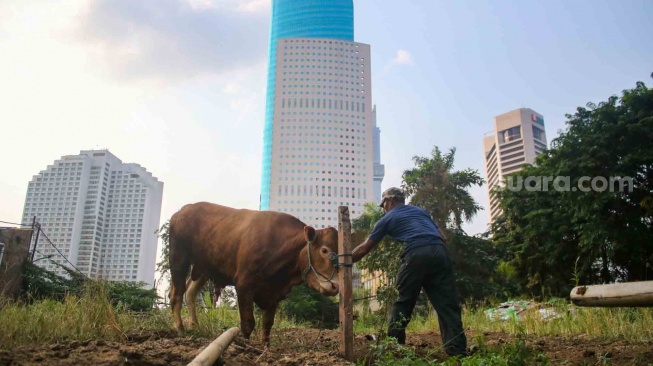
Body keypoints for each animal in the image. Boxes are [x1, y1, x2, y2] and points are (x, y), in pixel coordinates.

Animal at [168, 203, 338, 344]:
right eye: (324, 250)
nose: (335, 286)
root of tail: (181, 211)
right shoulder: (244, 285)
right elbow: (248, 323)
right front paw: (246, 345)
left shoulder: (275, 293)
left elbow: (267, 324)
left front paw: (265, 346)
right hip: (178, 258)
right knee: (176, 294)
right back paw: (180, 329)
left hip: (203, 267)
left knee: (190, 292)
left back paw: (194, 326)